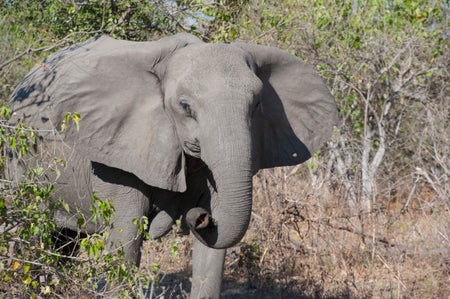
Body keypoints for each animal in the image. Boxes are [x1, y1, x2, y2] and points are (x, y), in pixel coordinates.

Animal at [7, 34, 338, 298]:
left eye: (257, 105)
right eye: (185, 107)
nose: (201, 217)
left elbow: (212, 255)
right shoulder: (115, 156)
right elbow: (126, 239)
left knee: (65, 242)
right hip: (18, 162)